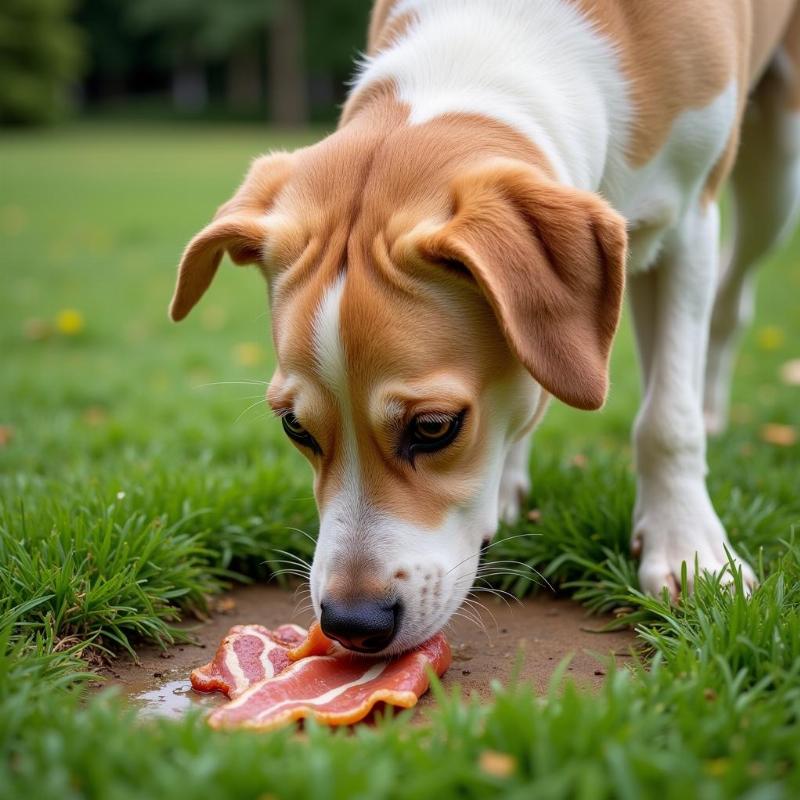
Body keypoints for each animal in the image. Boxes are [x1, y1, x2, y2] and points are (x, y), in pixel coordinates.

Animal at [169, 0, 800, 652]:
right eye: (295, 427)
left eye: (434, 428)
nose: (351, 624)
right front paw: (507, 483)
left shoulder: (689, 222)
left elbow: (666, 418)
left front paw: (688, 551)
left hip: (776, 175)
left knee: (730, 300)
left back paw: (711, 409)